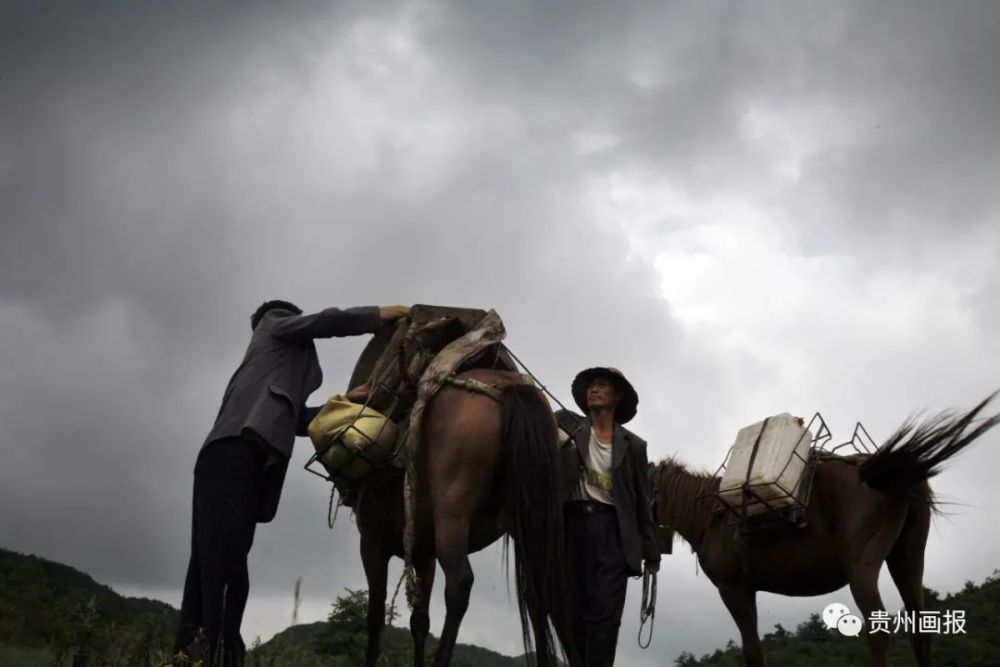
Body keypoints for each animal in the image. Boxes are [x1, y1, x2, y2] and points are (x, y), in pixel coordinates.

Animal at [352, 368, 576, 667]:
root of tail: (508, 385)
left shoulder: (371, 543)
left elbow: (375, 616)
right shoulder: (423, 555)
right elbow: (419, 622)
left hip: (452, 513)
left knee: (460, 583)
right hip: (533, 522)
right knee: (543, 594)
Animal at [652, 394, 996, 667]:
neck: (711, 517)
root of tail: (870, 471)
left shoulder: (732, 588)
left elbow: (752, 651)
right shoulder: (747, 589)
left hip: (862, 568)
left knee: (879, 631)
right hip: (908, 559)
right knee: (920, 631)